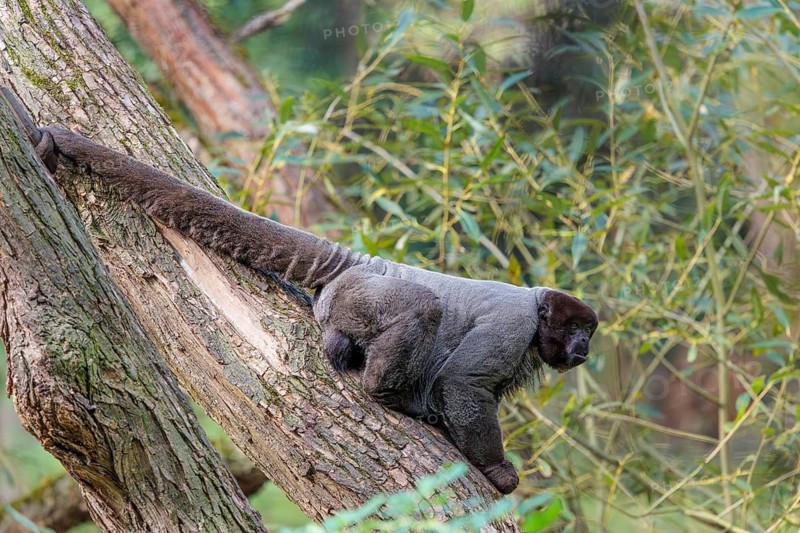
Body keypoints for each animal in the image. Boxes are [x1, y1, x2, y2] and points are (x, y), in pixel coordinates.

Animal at [24, 124, 598, 495]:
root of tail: (362, 261)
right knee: (422, 306)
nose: (585, 349)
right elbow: (464, 383)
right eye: (580, 332)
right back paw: (385, 391)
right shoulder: (514, 327)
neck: (536, 315)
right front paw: (498, 471)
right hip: (359, 293)